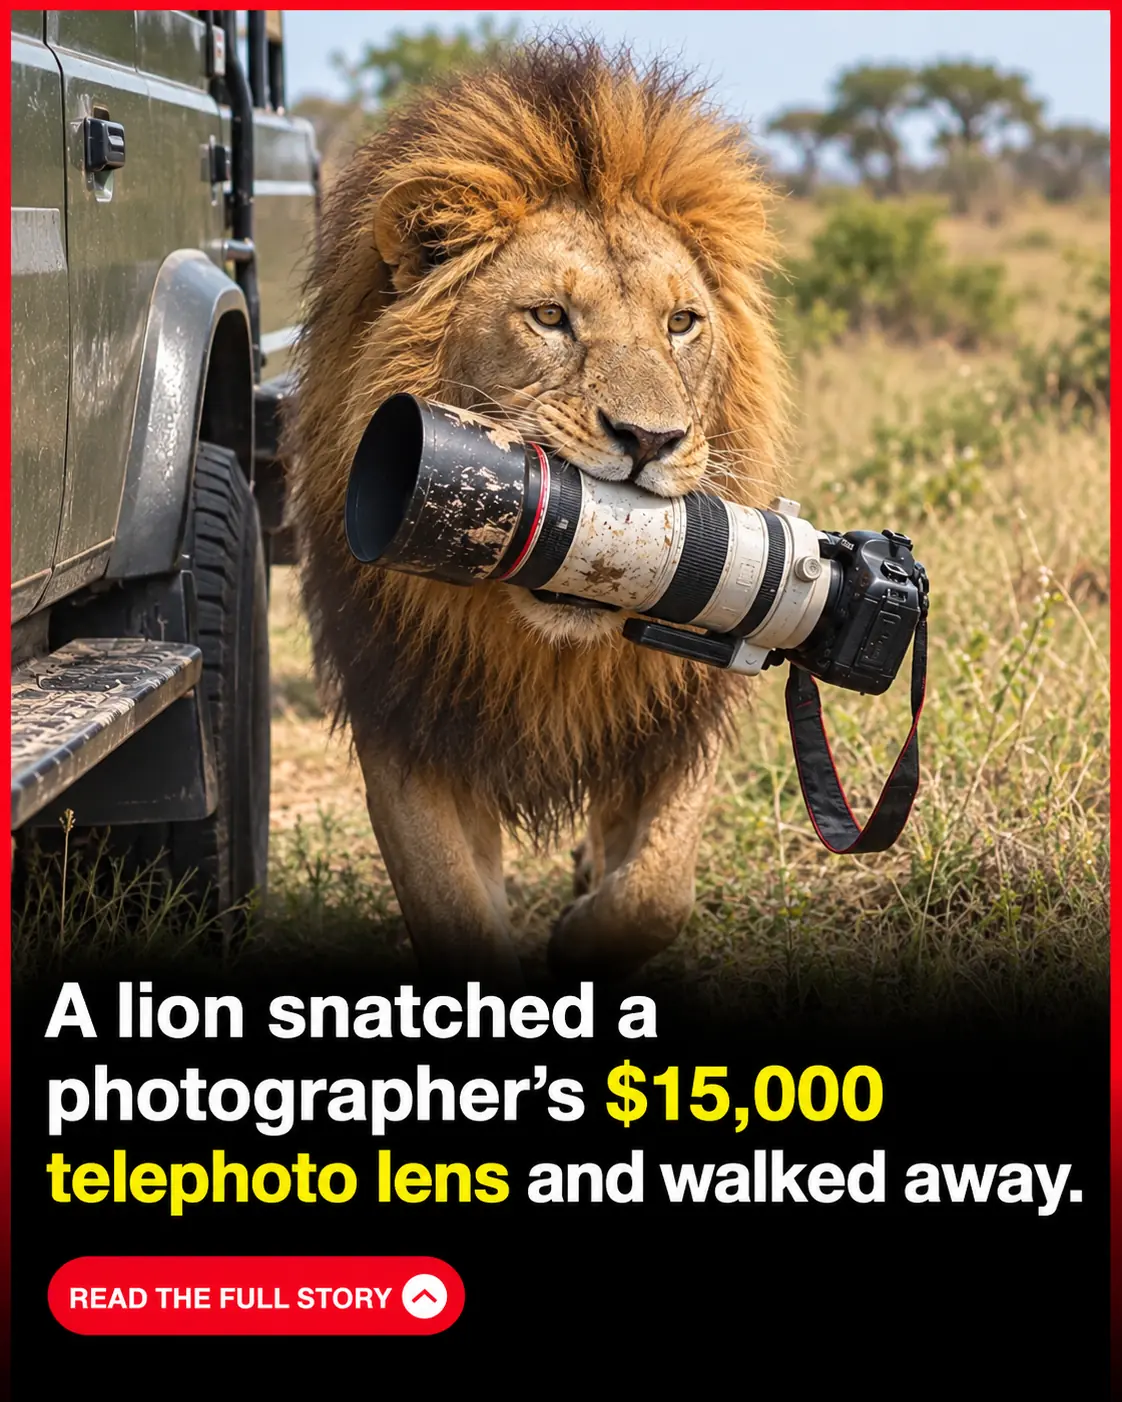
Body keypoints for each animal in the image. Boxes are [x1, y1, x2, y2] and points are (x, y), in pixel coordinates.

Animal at [287, 41, 789, 981]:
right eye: (550, 317)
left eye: (682, 323)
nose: (649, 439)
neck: (545, 647)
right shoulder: (405, 720)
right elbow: (455, 914)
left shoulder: (678, 704)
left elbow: (655, 894)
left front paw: (581, 937)